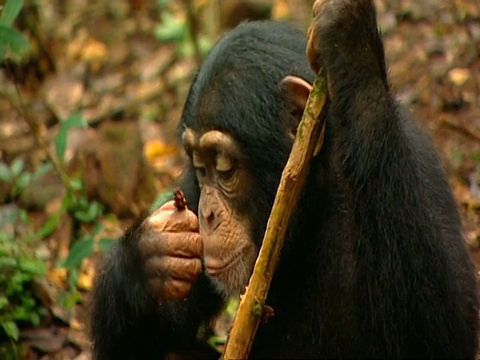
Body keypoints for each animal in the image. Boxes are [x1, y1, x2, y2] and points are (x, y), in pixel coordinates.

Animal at [91, 0, 480, 358]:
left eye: (225, 167)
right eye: (202, 168)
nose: (207, 214)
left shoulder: (419, 167)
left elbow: (439, 329)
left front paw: (353, 46)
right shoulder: (189, 188)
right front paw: (147, 257)